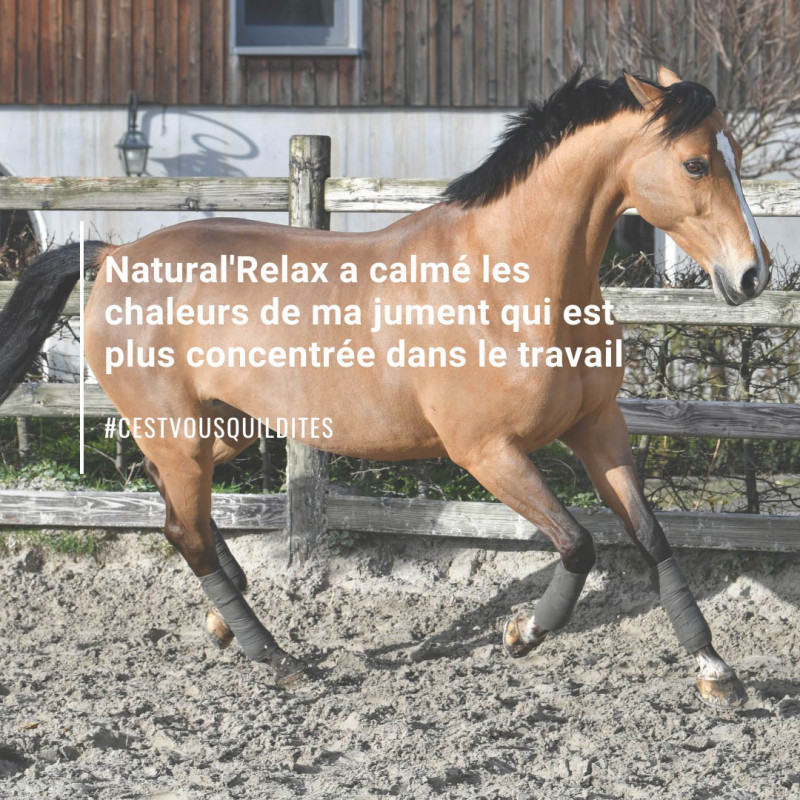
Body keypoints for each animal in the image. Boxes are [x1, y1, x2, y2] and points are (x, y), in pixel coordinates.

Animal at [0, 67, 770, 708]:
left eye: (733, 149)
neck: (508, 280)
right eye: (695, 162)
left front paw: (717, 672)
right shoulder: (486, 453)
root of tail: (117, 253)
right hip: (180, 434)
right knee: (186, 532)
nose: (753, 275)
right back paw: (276, 657)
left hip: (226, 430)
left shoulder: (599, 427)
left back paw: (226, 620)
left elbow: (653, 538)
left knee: (179, 518)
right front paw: (522, 634)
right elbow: (579, 543)